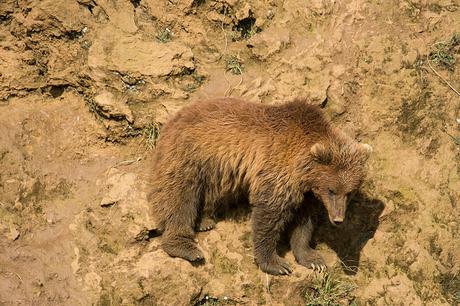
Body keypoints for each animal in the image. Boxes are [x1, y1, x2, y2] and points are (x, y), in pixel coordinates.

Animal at [149, 97, 372, 274]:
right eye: (332, 190)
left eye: (349, 192)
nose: (338, 219)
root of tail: (175, 117)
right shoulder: (279, 169)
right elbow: (269, 214)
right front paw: (276, 263)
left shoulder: (307, 191)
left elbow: (304, 222)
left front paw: (312, 259)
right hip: (190, 154)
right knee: (180, 197)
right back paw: (185, 247)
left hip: (216, 169)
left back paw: (205, 220)